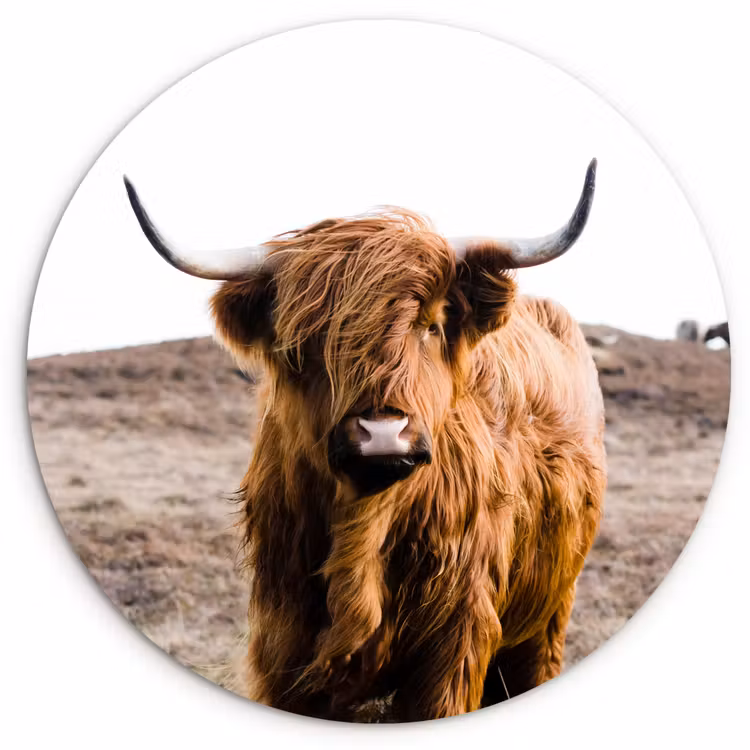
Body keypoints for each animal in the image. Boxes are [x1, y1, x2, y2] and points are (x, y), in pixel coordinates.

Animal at [123, 159, 606, 722]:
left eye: (432, 325)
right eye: (303, 342)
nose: (382, 433)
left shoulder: (454, 645)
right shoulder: (284, 642)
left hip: (549, 612)